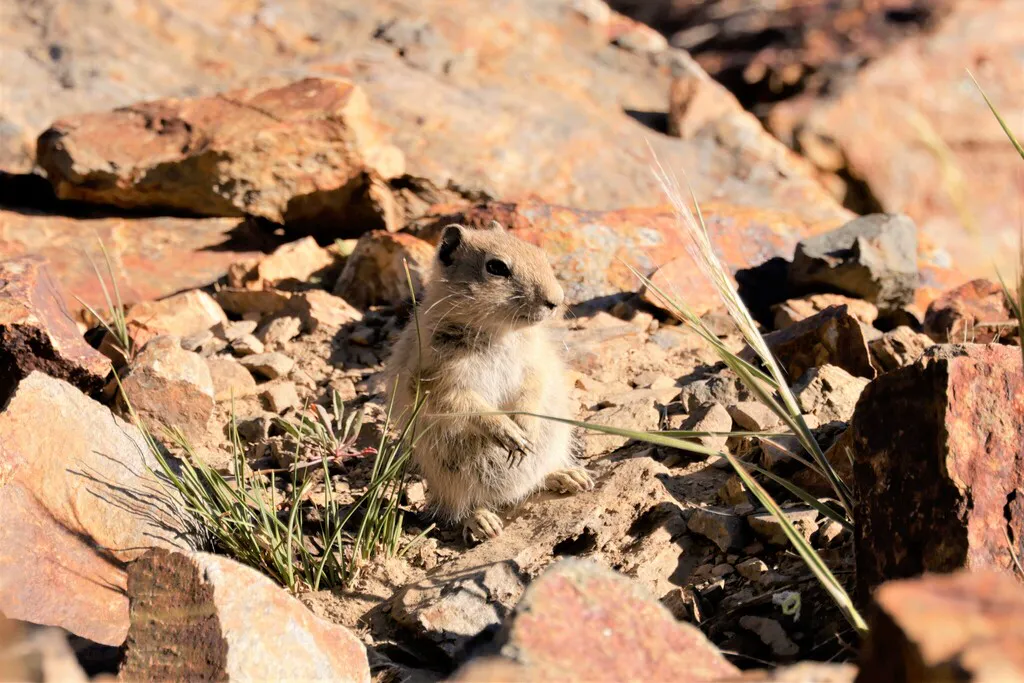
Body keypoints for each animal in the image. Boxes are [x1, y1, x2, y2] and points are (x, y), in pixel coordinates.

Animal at [385, 221, 593, 541]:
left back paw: (573, 477)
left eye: (540, 254)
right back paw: (485, 524)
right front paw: (511, 435)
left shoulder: (535, 366)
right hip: (451, 477)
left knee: (540, 475)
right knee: (464, 506)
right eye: (496, 267)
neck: (497, 333)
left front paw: (526, 431)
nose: (555, 301)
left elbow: (532, 391)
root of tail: (512, 494)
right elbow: (469, 406)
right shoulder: (441, 383)